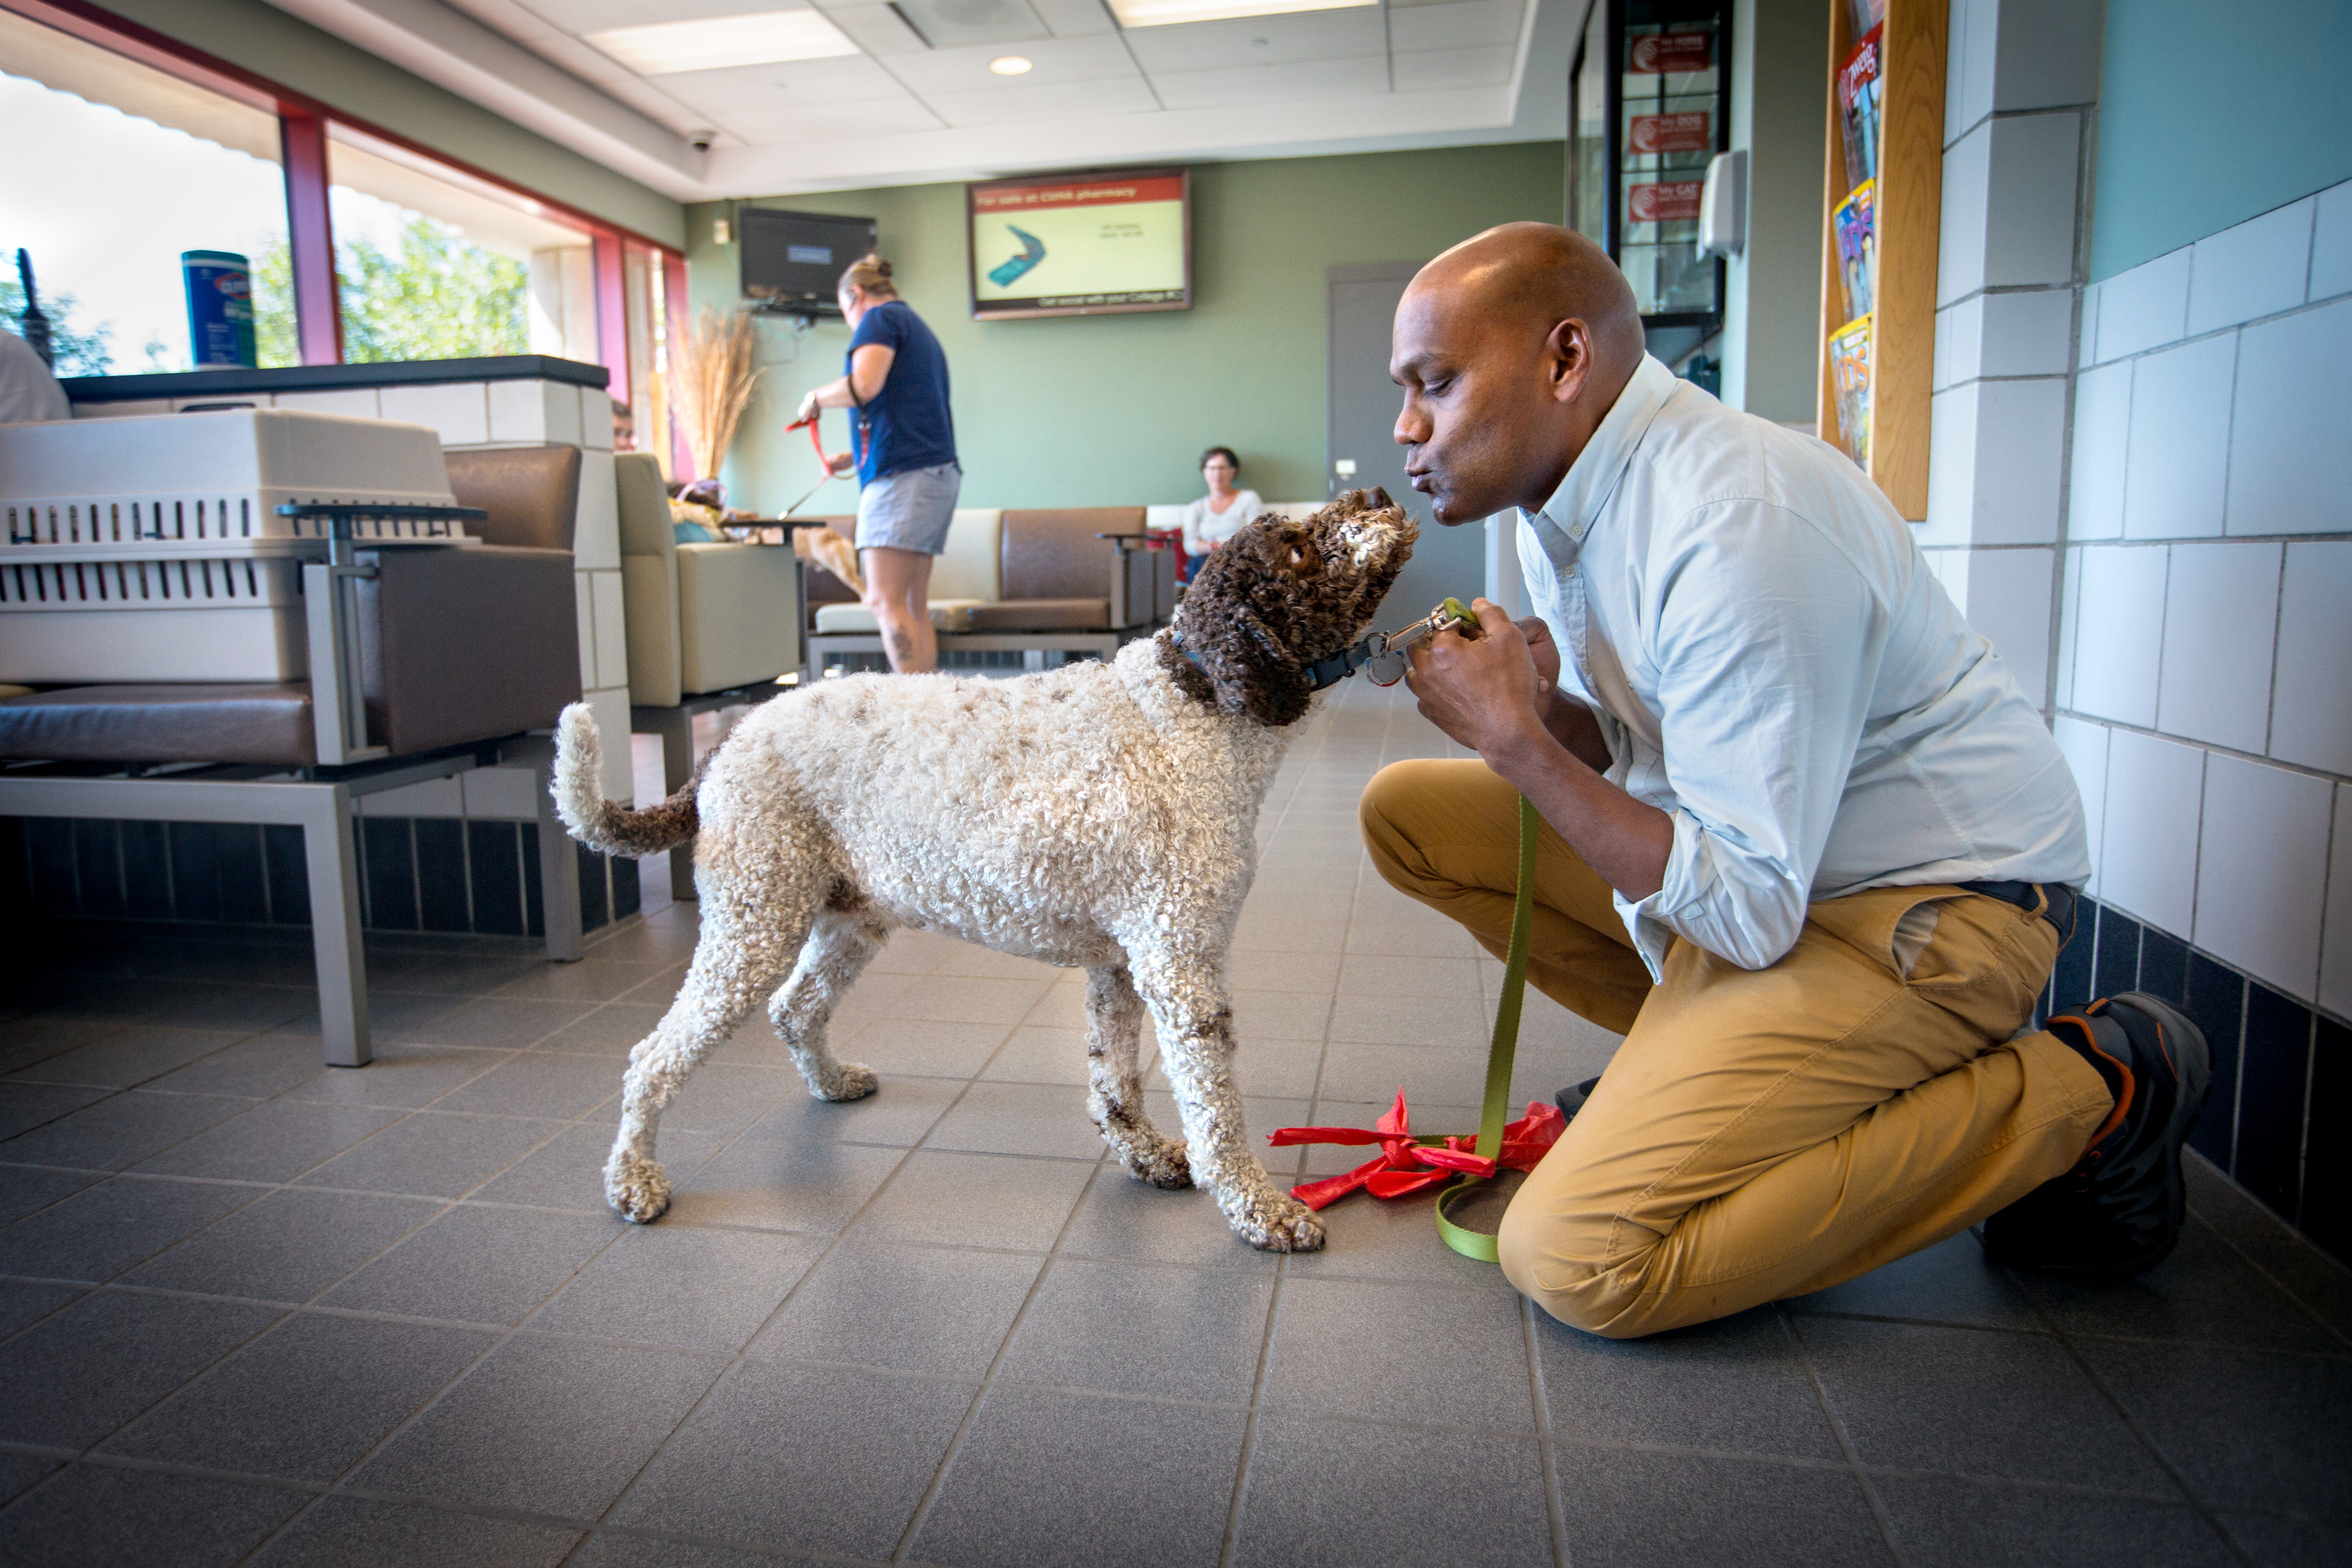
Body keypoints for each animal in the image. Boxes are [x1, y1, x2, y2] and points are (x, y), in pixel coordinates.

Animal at [555, 491, 1411, 1251]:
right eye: (1295, 548)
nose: (1377, 492)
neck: (1190, 706)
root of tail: (733, 738)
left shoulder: (1120, 966)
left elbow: (1115, 1083)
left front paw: (1142, 1154)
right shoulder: (1180, 965)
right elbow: (1216, 1111)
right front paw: (1259, 1209)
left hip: (846, 918)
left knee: (795, 1010)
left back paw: (829, 1083)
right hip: (753, 920)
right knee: (654, 1057)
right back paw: (633, 1179)